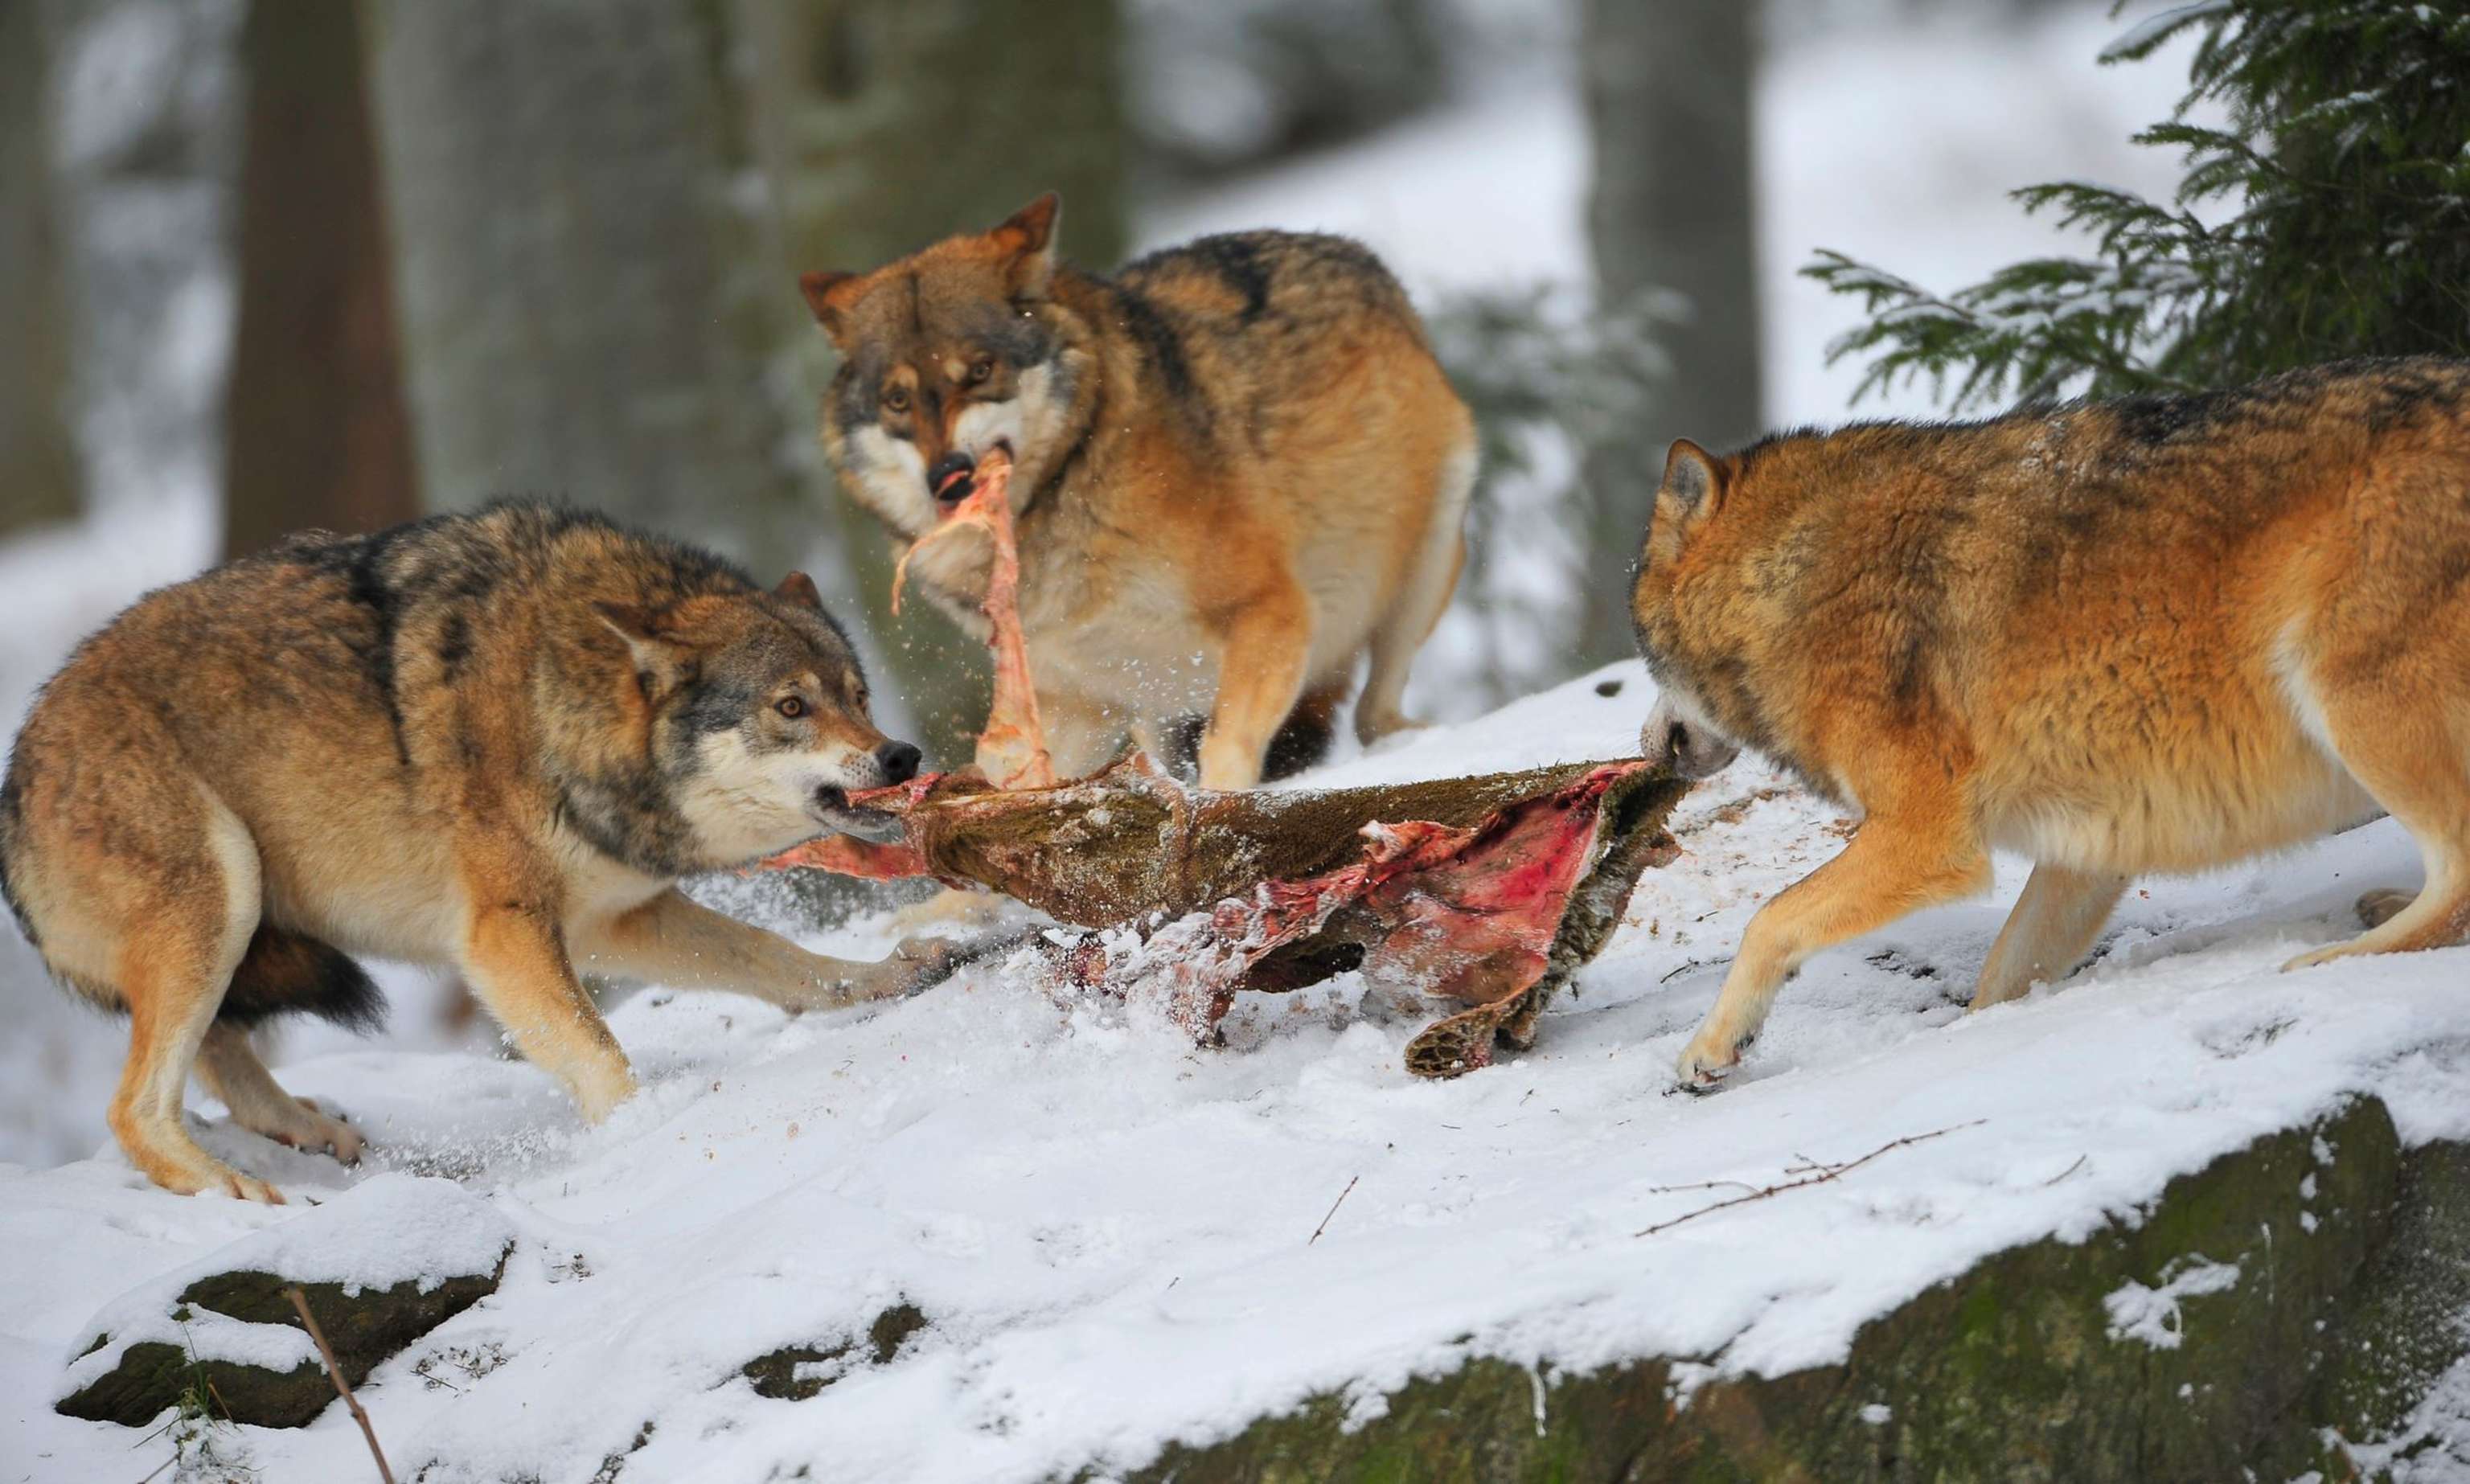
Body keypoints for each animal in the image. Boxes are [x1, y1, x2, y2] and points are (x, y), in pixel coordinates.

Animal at [0, 502, 941, 1201]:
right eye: (791, 707)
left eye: (857, 695)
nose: (902, 756)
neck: (556, 698)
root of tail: (20, 767)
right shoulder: (504, 935)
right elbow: (600, 1053)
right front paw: (646, 1132)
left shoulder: (612, 918)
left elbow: (778, 957)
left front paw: (878, 980)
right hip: (220, 893)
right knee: (135, 1108)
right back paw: (232, 1188)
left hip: (237, 924)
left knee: (217, 1054)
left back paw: (306, 1129)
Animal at [798, 193, 1476, 790]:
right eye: (898, 400)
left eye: (981, 370)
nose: (950, 477)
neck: (1066, 485)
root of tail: (1353, 254)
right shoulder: (1077, 702)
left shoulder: (1273, 610)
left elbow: (1226, 750)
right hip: (1158, 714)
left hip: (1429, 556)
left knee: (1372, 716)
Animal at [1630, 357, 2470, 1088]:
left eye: (1641, 652)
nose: (1652, 746)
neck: (1791, 584)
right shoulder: (2090, 846)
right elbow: (2003, 978)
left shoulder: (1927, 838)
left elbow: (1770, 919)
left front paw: (1712, 1048)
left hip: (2352, 699)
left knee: (2456, 881)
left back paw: (2330, 961)